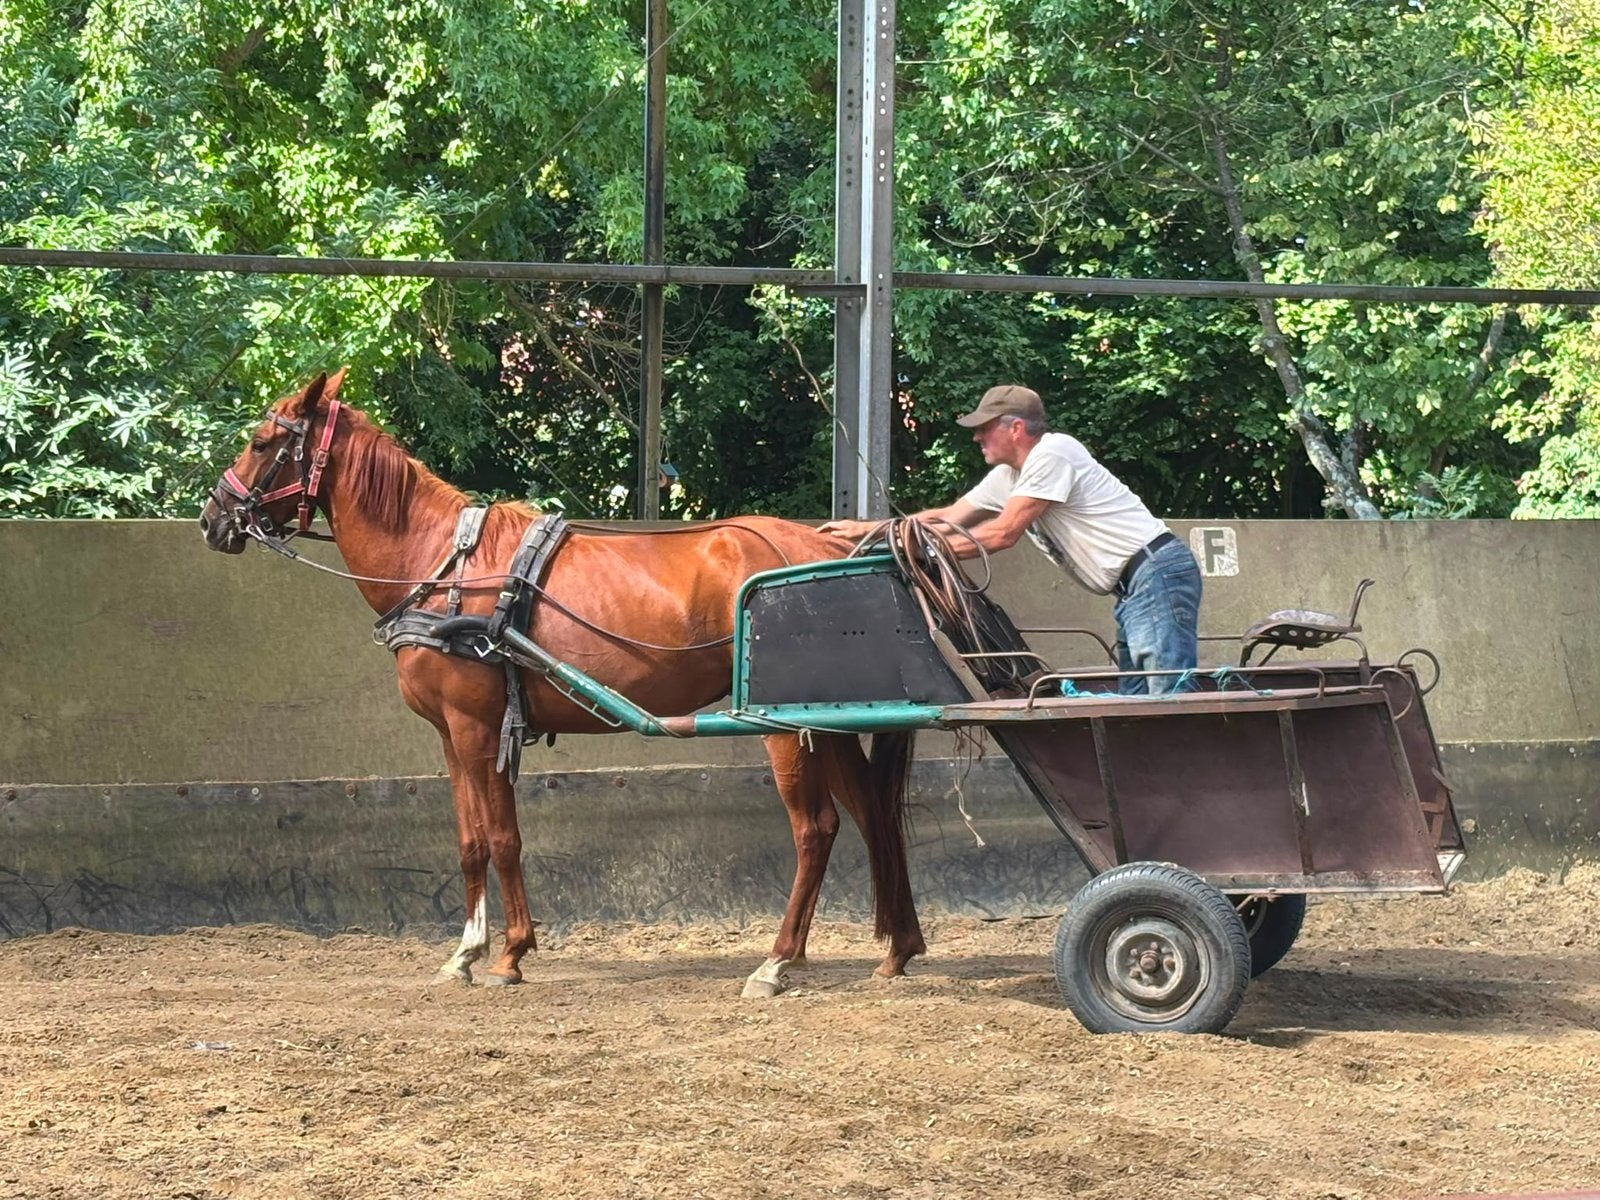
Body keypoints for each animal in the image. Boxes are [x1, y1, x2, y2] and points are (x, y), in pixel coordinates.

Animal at [197, 369, 926, 997]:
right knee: (872, 813)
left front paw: (509, 953)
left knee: (817, 829)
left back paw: (777, 961)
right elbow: (471, 842)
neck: (444, 567)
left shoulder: (476, 726)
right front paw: (467, 952)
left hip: (781, 726)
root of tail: (823, 548)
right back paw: (897, 947)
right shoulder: (452, 735)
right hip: (826, 718)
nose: (213, 516)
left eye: (262, 442)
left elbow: (500, 838)